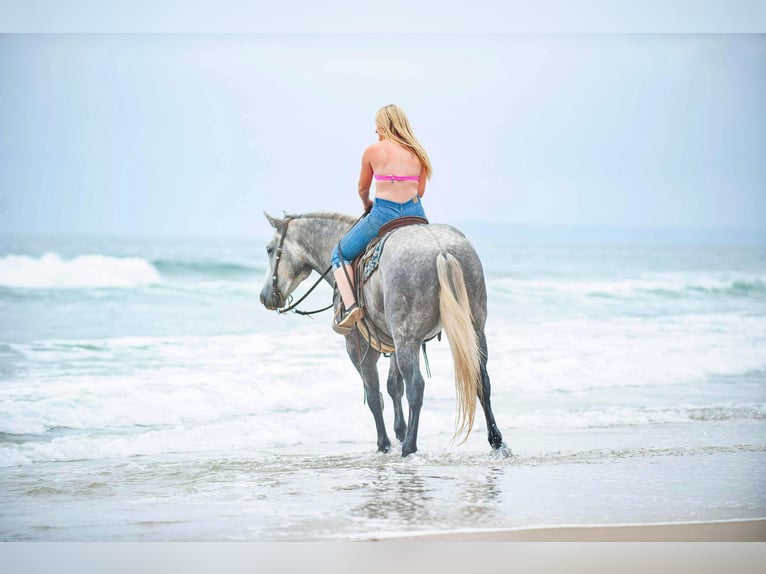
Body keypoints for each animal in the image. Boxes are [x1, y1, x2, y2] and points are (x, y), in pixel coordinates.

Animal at [260, 212, 510, 460]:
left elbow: (373, 394)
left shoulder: (360, 347)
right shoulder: (395, 343)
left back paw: (409, 447)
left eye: (270, 249)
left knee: (416, 386)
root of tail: (442, 250)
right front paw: (399, 431)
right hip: (474, 330)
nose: (265, 296)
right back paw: (496, 441)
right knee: (482, 381)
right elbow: (393, 386)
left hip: (407, 338)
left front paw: (385, 444)